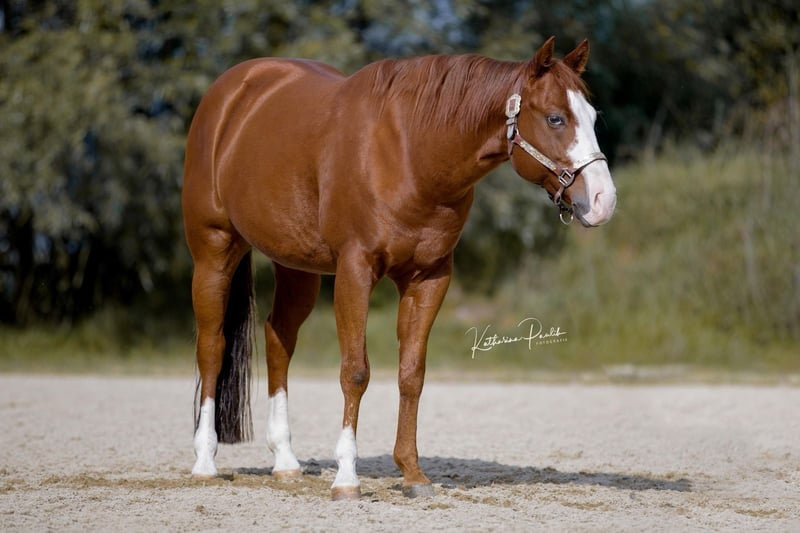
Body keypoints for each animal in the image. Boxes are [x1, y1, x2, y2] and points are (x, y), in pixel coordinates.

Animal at [181, 36, 616, 500]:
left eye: (592, 116)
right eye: (555, 118)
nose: (603, 201)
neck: (410, 152)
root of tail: (231, 92)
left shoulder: (429, 278)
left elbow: (412, 373)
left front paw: (412, 473)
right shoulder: (355, 270)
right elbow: (355, 371)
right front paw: (347, 477)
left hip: (297, 267)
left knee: (278, 340)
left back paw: (285, 462)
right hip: (214, 251)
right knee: (212, 347)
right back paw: (205, 461)